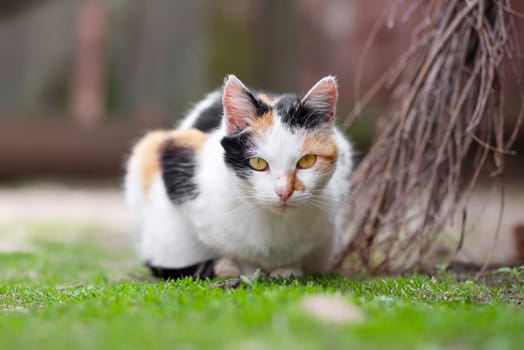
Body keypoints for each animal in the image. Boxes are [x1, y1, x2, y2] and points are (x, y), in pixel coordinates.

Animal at [124, 74, 352, 278]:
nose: (284, 192)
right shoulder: (178, 153)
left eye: (306, 161)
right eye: (258, 163)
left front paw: (287, 269)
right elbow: (229, 248)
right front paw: (243, 269)